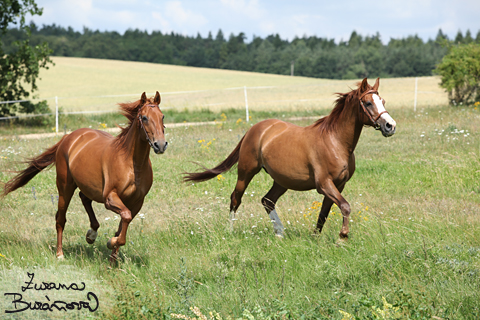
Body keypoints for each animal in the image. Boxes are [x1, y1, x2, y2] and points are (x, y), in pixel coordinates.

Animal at [1, 90, 168, 260]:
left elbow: (122, 226)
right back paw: (60, 254)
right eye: (144, 117)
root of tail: (68, 137)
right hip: (65, 188)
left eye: (162, 116)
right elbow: (125, 218)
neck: (132, 164)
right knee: (60, 219)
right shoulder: (110, 198)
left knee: (84, 198)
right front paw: (110, 243)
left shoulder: (136, 202)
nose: (160, 145)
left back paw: (91, 234)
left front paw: (113, 259)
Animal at [184, 79, 394, 239]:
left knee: (267, 200)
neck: (335, 142)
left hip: (282, 180)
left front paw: (315, 238)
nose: (390, 126)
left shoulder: (338, 185)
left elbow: (324, 213)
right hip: (246, 172)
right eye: (368, 103)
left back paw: (279, 232)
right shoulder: (324, 183)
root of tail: (255, 129)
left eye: (383, 100)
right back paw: (231, 231)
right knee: (236, 198)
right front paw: (342, 236)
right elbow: (345, 206)